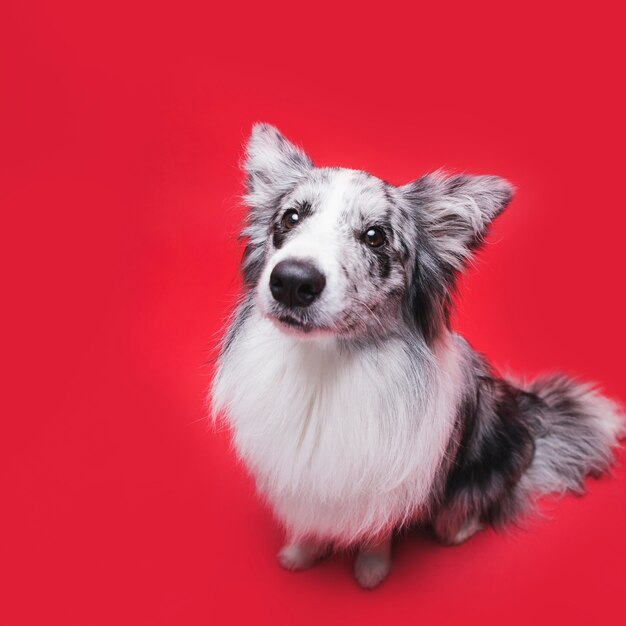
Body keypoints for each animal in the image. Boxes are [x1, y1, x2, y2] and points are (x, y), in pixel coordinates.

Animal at [211, 124, 624, 588]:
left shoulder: (392, 478)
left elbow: (378, 528)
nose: (292, 282)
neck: (325, 366)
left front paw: (372, 569)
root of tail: (530, 417)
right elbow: (311, 519)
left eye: (375, 236)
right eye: (291, 218)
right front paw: (303, 551)